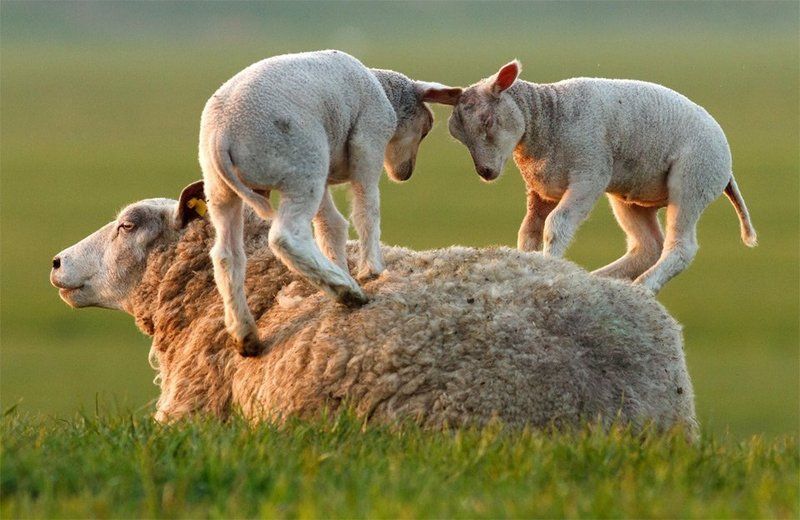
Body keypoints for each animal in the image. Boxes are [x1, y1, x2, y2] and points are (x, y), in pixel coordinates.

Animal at [200, 50, 446, 356]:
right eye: (426, 129)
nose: (405, 174)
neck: (384, 91)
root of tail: (221, 137)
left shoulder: (329, 171)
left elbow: (331, 225)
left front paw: (340, 264)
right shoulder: (369, 137)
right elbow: (367, 209)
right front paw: (372, 269)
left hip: (221, 190)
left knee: (226, 255)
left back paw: (245, 333)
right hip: (302, 163)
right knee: (286, 237)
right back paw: (346, 291)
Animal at [424, 61, 756, 292]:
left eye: (487, 121)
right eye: (457, 135)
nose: (486, 173)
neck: (548, 120)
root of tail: (727, 166)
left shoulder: (589, 176)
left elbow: (556, 226)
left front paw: (552, 266)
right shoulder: (539, 190)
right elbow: (528, 232)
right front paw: (531, 265)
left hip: (693, 178)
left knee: (680, 247)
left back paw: (644, 288)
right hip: (632, 197)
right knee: (647, 247)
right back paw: (601, 280)